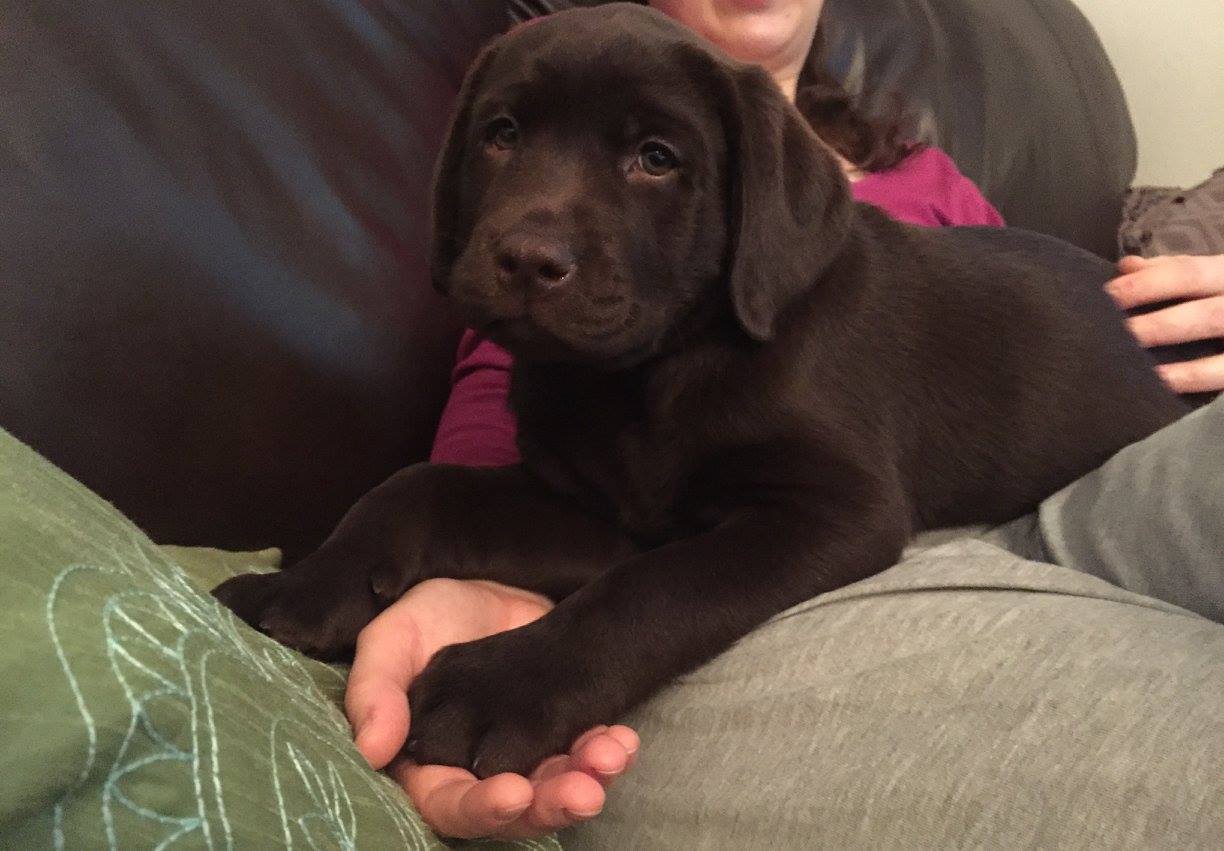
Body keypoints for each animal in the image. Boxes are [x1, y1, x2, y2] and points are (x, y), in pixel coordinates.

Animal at [214, 3, 1187, 778]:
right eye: (501, 134)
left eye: (656, 158)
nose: (526, 259)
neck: (648, 378)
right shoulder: (599, 512)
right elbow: (422, 484)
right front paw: (308, 581)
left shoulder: (832, 510)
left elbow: (653, 591)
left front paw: (500, 689)